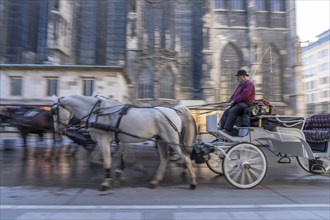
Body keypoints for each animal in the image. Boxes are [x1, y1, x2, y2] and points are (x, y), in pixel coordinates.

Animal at [51, 95, 196, 190]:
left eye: (54, 112)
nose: (58, 130)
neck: (97, 111)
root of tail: (174, 110)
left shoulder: (103, 138)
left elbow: (107, 160)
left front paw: (106, 181)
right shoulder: (109, 139)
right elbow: (102, 157)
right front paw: (116, 172)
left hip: (171, 139)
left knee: (186, 157)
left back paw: (193, 182)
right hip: (161, 139)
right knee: (165, 159)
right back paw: (155, 181)